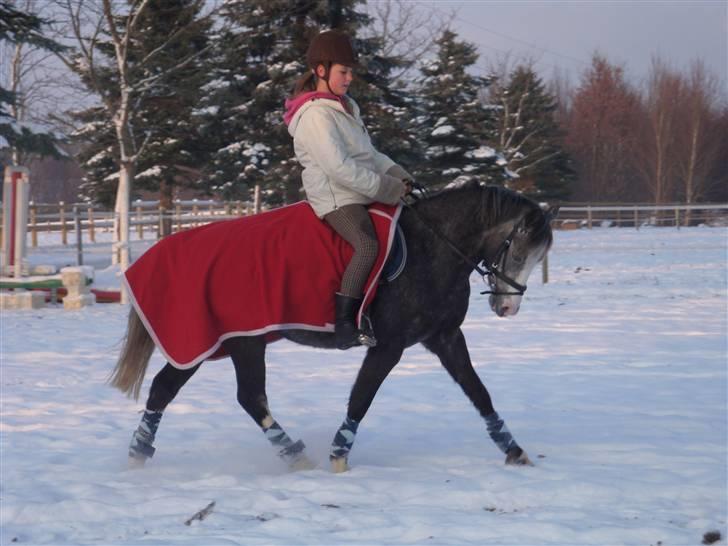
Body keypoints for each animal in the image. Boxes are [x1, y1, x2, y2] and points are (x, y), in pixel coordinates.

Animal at [111, 181, 556, 470]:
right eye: (519, 251)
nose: (507, 306)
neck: (432, 247)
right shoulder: (388, 345)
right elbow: (361, 397)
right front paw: (339, 456)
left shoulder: (444, 337)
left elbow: (478, 391)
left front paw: (513, 449)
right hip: (243, 342)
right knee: (248, 397)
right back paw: (294, 455)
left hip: (213, 344)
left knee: (167, 389)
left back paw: (138, 454)